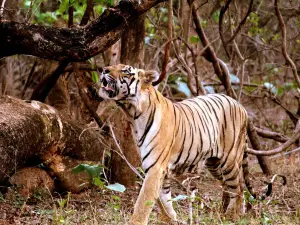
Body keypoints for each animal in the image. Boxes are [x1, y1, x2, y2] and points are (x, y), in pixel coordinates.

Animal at [94, 63, 268, 225]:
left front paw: (137, 221)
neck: (133, 114)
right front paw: (169, 219)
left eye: (125, 71)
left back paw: (232, 216)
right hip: (214, 163)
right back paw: (223, 211)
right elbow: (164, 199)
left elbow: (144, 201)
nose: (104, 70)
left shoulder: (155, 167)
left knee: (238, 188)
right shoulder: (160, 169)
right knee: (230, 186)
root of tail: (240, 105)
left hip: (229, 160)